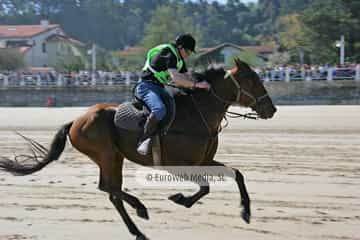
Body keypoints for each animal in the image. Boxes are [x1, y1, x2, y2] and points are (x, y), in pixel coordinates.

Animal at [0, 58, 276, 240]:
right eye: (252, 80)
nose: (271, 109)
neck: (198, 114)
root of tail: (76, 121)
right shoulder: (176, 165)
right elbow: (205, 187)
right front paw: (180, 198)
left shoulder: (203, 161)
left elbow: (236, 174)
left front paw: (246, 212)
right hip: (108, 156)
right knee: (110, 189)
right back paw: (140, 211)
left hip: (113, 157)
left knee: (110, 190)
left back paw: (138, 225)